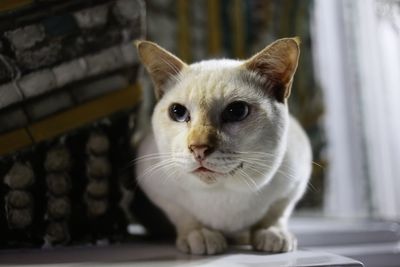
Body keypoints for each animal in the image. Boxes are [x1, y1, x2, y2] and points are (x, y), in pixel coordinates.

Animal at [136, 38, 310, 256]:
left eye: (237, 111)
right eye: (178, 112)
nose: (198, 148)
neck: (221, 193)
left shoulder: (294, 184)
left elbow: (277, 213)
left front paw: (271, 233)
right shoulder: (157, 189)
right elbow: (183, 215)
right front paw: (201, 234)